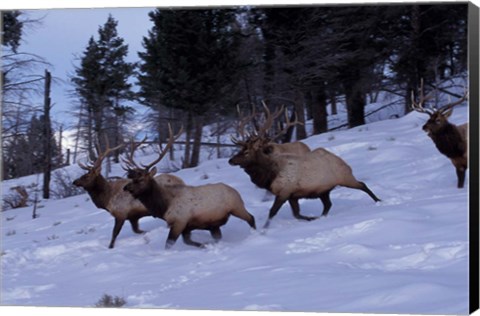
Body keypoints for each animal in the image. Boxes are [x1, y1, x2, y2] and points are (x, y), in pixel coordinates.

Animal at [122, 126, 256, 249]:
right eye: (132, 178)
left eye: (140, 179)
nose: (126, 188)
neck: (164, 207)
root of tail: (235, 191)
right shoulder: (186, 227)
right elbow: (188, 242)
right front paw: (204, 245)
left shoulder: (180, 221)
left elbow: (169, 244)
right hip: (215, 224)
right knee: (219, 235)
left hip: (237, 207)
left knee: (251, 218)